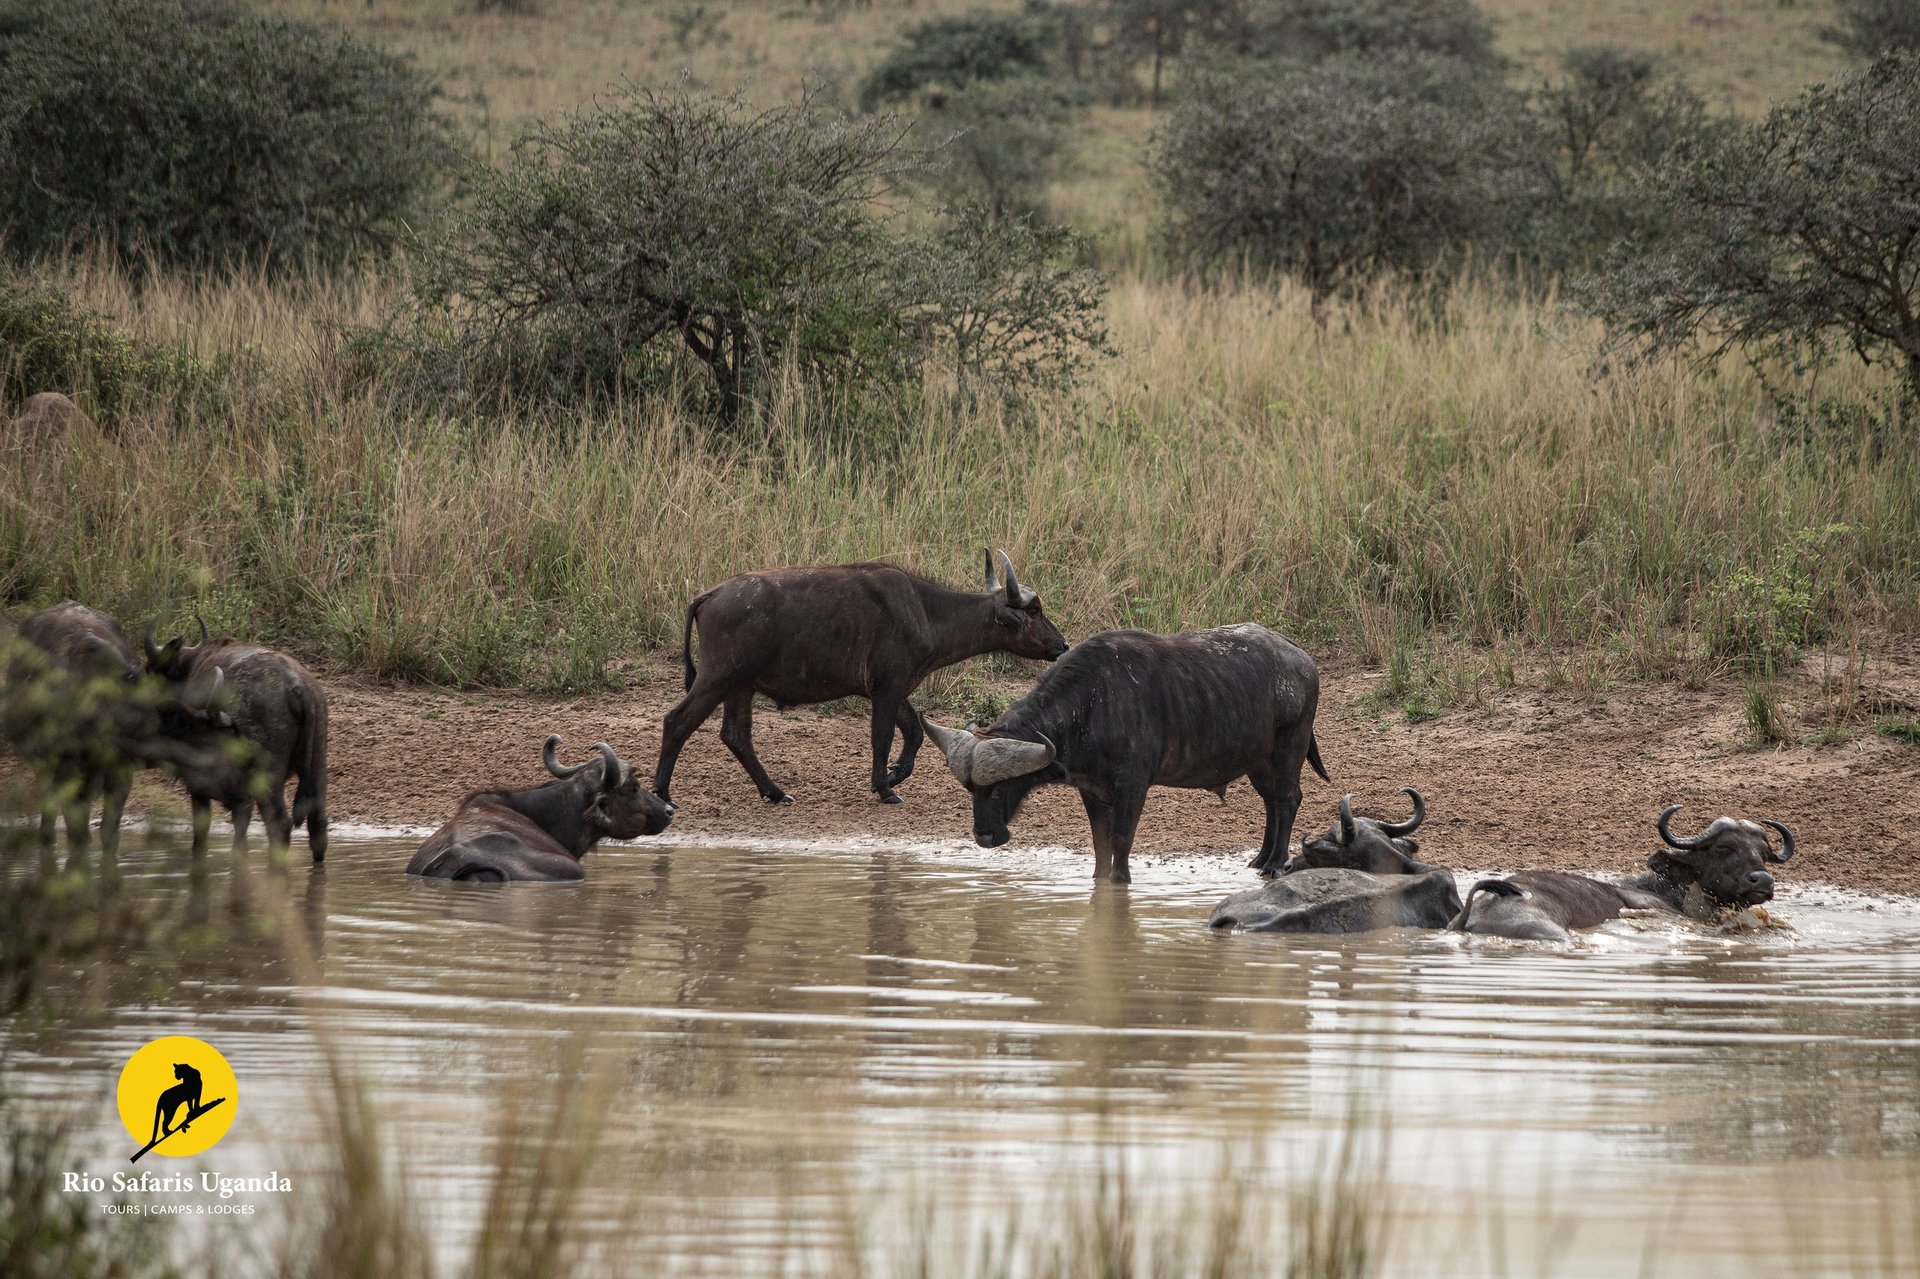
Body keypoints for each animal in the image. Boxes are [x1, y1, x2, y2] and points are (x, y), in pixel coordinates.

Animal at [145, 624, 330, 861]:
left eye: (152, 670)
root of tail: (296, 684)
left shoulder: (200, 785)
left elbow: (201, 832)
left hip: (267, 777)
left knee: (278, 823)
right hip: (317, 763)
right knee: (317, 825)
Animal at [652, 551, 1068, 807]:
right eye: (1034, 610)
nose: (1062, 645)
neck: (925, 610)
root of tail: (711, 594)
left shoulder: (895, 689)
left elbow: (914, 732)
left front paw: (895, 775)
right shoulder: (887, 688)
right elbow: (882, 736)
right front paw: (885, 788)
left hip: (741, 687)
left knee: (736, 735)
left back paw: (775, 792)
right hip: (718, 678)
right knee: (677, 722)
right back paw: (663, 794)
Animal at [924, 624, 1327, 884]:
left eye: (1000, 788)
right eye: (971, 790)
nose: (984, 837)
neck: (1090, 705)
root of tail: (1301, 658)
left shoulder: (1133, 785)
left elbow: (1121, 838)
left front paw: (1121, 880)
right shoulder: (1091, 789)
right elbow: (1100, 842)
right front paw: (1100, 878)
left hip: (1289, 748)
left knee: (1288, 799)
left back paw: (1275, 864)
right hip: (1258, 761)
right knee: (1271, 802)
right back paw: (1259, 859)